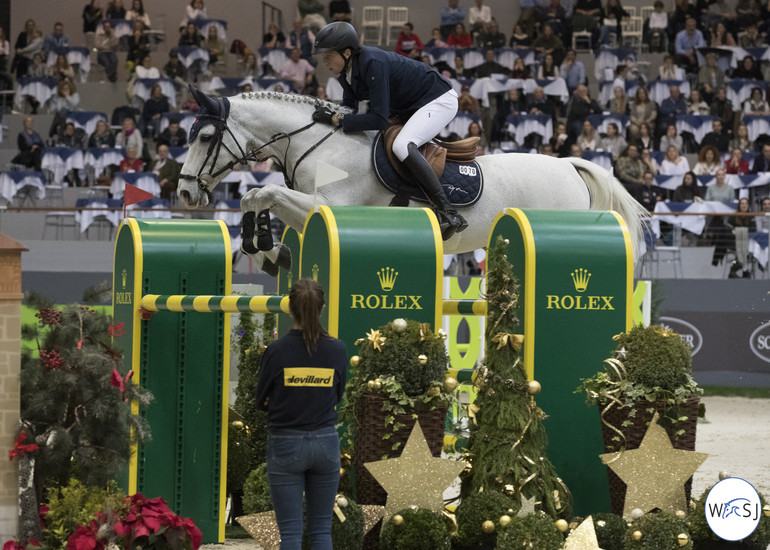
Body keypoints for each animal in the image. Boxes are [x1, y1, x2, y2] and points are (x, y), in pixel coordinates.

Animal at [177, 88, 644, 276]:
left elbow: (264, 191)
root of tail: (569, 165)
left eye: (205, 137)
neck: (318, 143)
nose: (183, 192)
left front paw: (264, 247)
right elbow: (256, 196)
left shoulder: (329, 207)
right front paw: (271, 252)